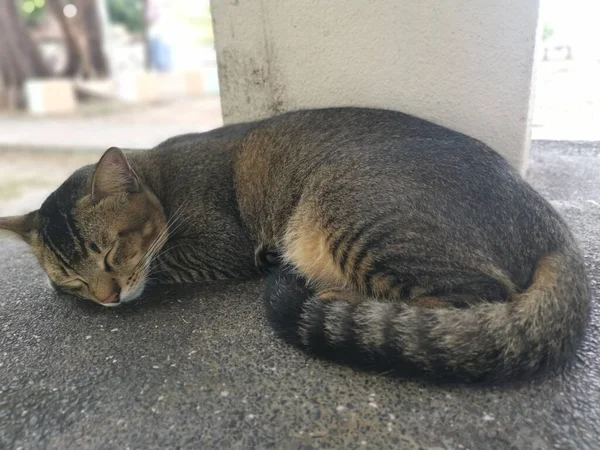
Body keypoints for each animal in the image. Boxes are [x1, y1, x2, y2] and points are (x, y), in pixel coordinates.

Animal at [0, 107, 592, 382]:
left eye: (112, 252)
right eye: (73, 276)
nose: (105, 298)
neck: (162, 178)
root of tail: (549, 220)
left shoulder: (220, 242)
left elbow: (165, 261)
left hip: (350, 203)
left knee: (473, 300)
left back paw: (335, 297)